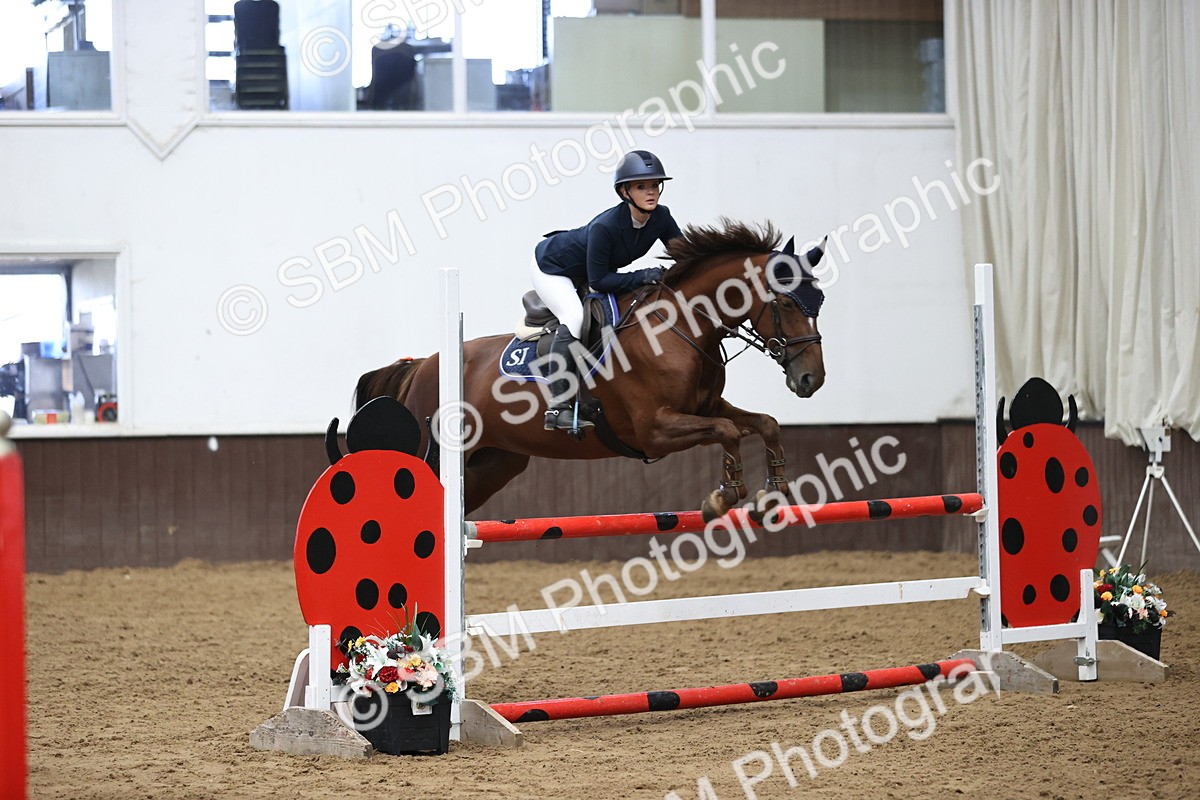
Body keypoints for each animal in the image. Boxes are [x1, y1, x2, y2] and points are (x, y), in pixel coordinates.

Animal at [355, 219, 828, 522]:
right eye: (785, 303)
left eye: (819, 301)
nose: (812, 379)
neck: (680, 328)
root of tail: (423, 365)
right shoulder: (654, 430)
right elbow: (728, 433)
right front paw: (722, 496)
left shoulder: (707, 407)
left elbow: (764, 423)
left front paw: (773, 491)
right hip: (435, 454)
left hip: (495, 464)